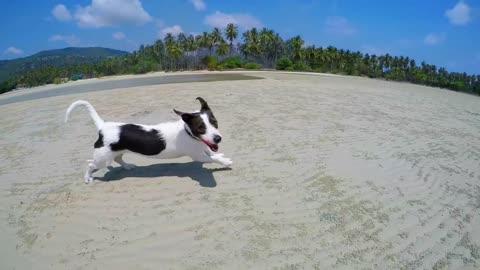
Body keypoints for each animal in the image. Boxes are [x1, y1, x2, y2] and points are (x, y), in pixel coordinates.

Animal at [65, 97, 232, 184]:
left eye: (214, 122)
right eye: (200, 128)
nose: (218, 138)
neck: (187, 132)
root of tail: (103, 126)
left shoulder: (204, 148)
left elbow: (211, 153)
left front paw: (220, 155)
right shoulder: (197, 156)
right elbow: (211, 158)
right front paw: (225, 161)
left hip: (115, 152)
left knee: (118, 159)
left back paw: (127, 166)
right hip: (103, 159)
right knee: (91, 165)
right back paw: (88, 178)